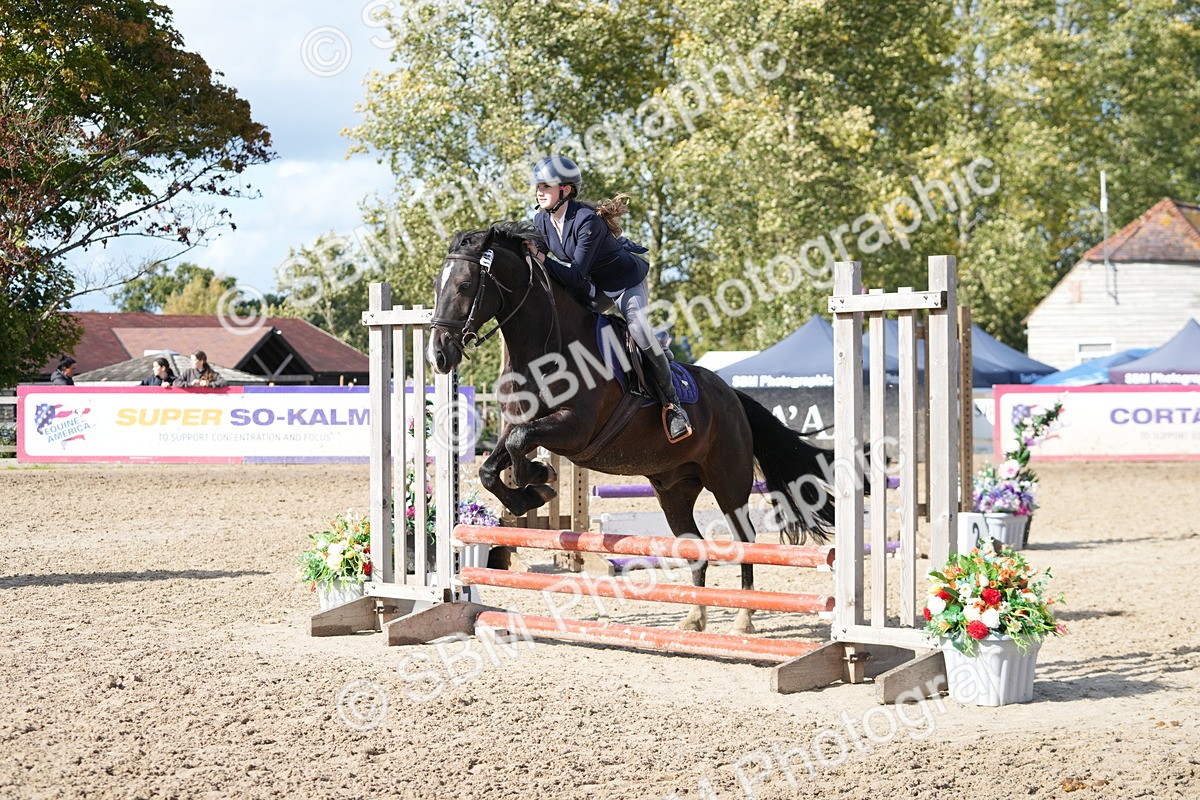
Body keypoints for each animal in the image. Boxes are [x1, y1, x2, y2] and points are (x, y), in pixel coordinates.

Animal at [427, 221, 836, 634]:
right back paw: (694, 617)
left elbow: (519, 444)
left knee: (744, 539)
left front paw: (538, 478)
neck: (545, 349)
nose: (439, 356)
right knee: (694, 546)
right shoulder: (518, 423)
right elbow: (492, 465)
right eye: (437, 285)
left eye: (464, 284)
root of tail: (733, 396)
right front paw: (531, 491)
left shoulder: (574, 429)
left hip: (728, 480)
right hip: (674, 490)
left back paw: (743, 618)